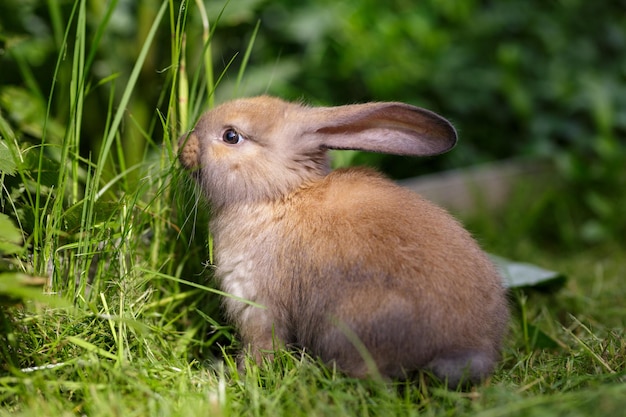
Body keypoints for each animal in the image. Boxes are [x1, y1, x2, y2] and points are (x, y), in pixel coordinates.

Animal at [177, 96, 508, 386]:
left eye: (231, 136)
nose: (182, 145)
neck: (279, 194)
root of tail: (466, 346)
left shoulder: (257, 302)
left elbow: (262, 346)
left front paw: (241, 375)